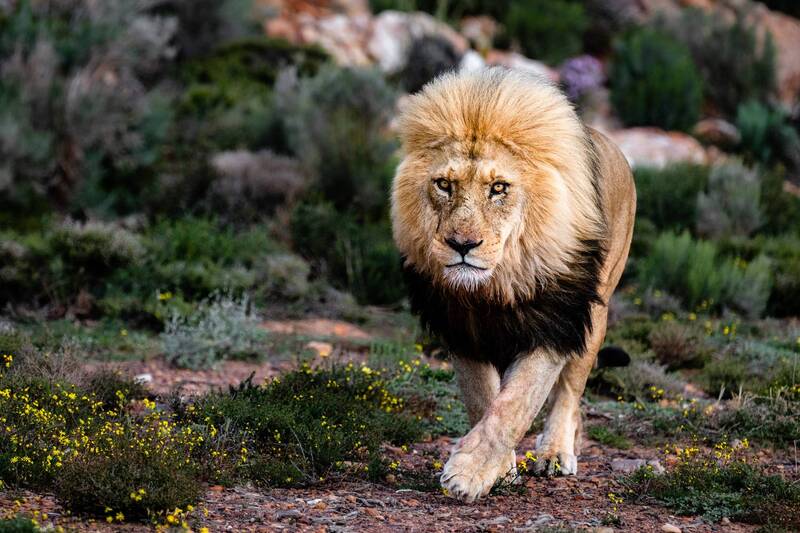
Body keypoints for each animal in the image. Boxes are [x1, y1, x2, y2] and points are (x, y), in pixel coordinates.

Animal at [391, 67, 635, 502]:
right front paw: (499, 470)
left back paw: (556, 453)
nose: (462, 245)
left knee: (569, 392)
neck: (497, 285)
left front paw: (467, 475)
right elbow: (484, 399)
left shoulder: (556, 325)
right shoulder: (462, 331)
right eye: (444, 185)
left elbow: (514, 405)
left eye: (499, 188)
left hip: (596, 312)